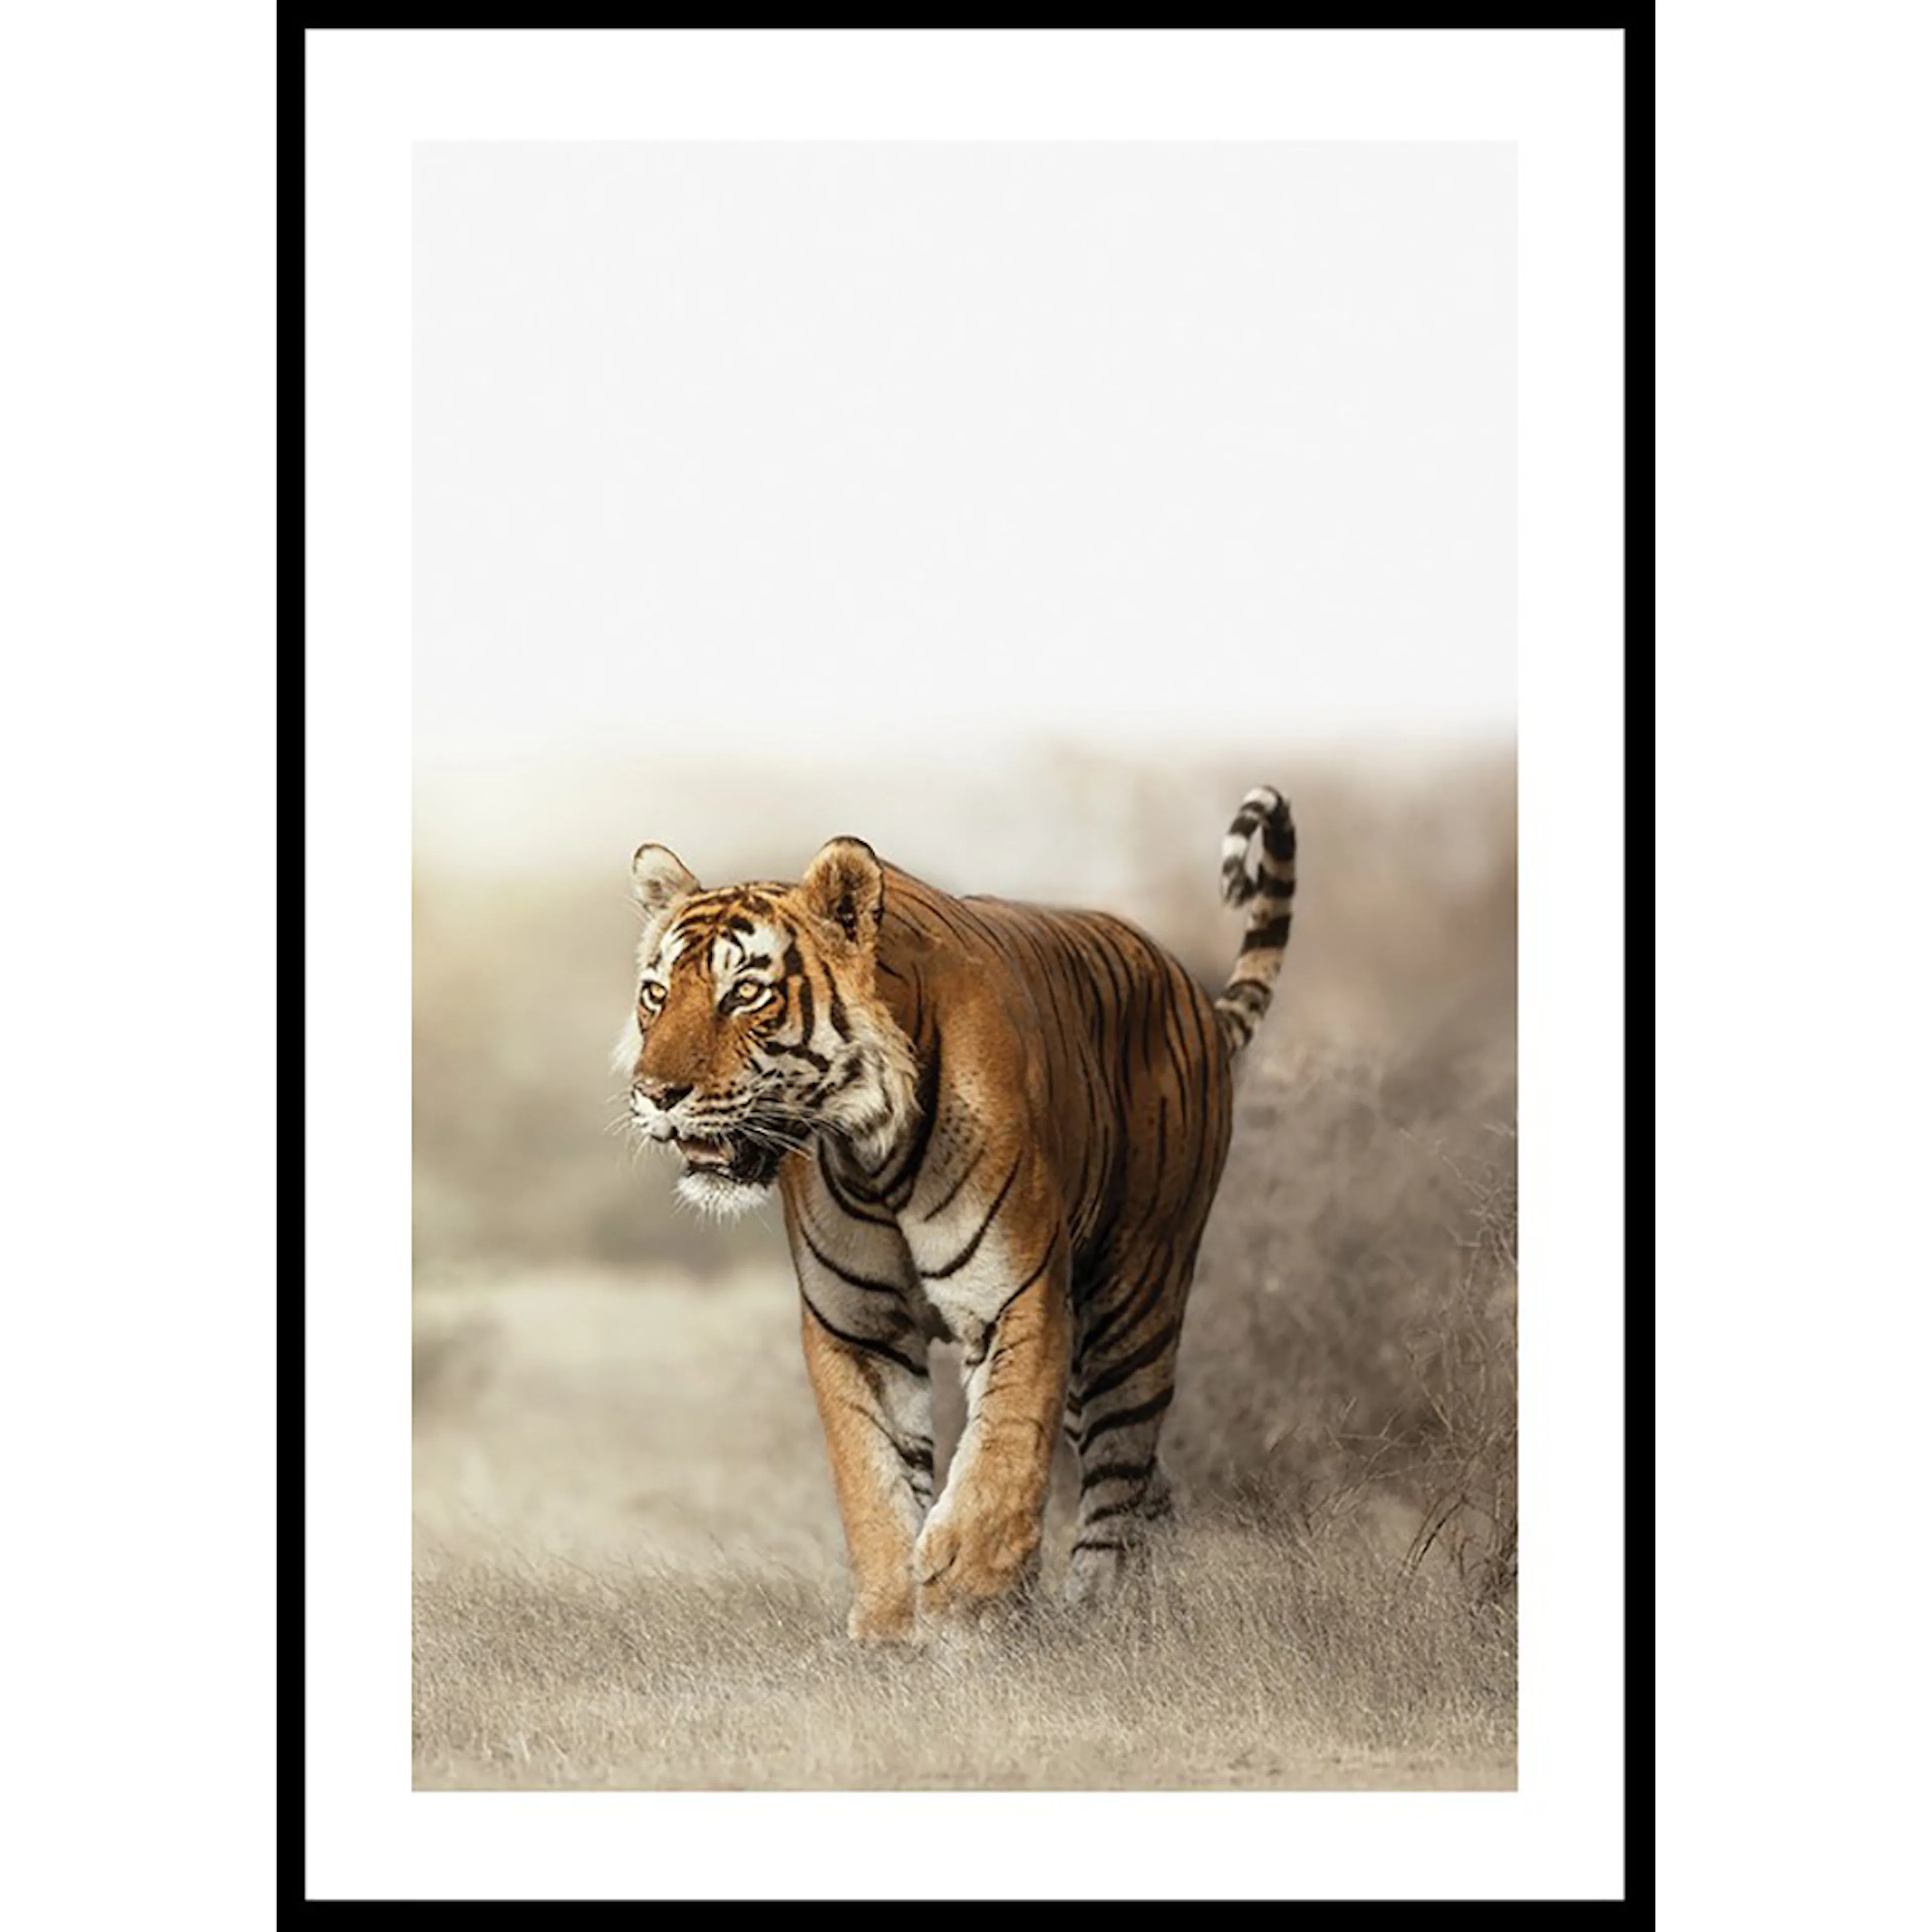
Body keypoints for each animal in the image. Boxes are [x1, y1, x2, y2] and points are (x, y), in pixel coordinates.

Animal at [615, 786, 1297, 1642]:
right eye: (657, 994)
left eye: (746, 993)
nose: (654, 1094)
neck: (868, 1150)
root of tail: (1193, 997)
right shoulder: (857, 1326)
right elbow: (872, 1478)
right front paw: (889, 1624)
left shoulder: (1017, 1298)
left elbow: (1001, 1456)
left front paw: (966, 1600)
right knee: (1147, 1480)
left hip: (1134, 1301)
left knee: (1119, 1470)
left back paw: (1095, 1611)